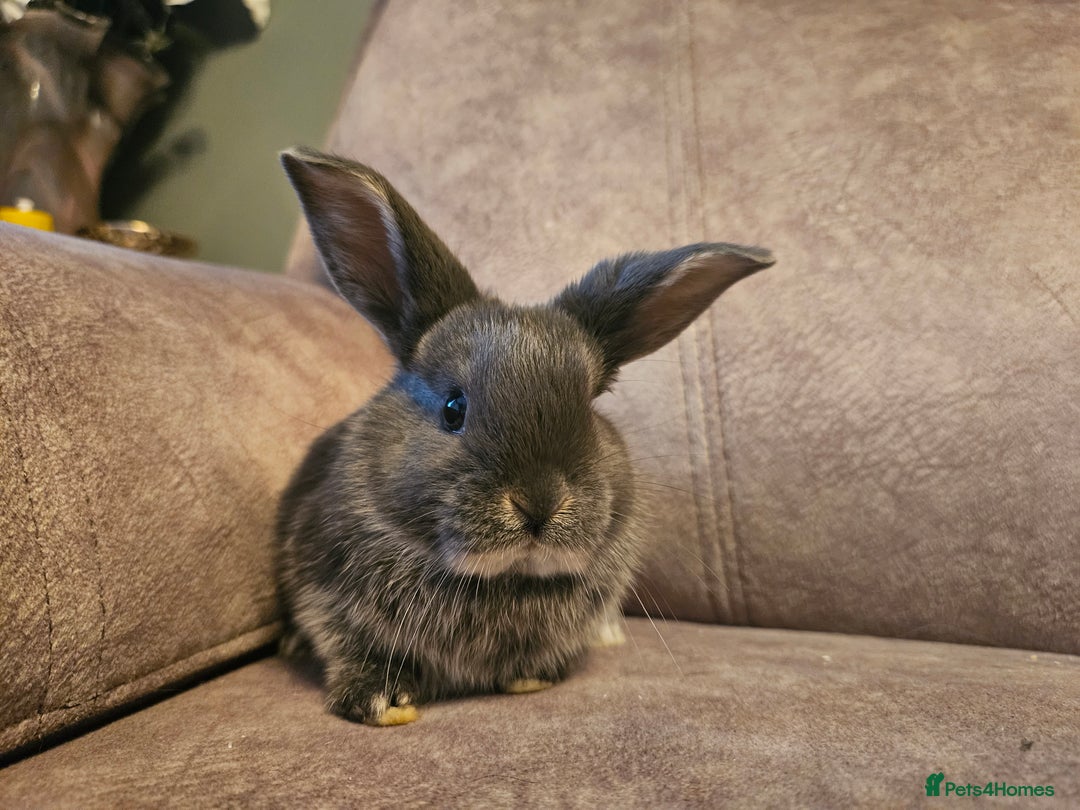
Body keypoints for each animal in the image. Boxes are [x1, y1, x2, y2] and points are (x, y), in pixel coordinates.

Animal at [276, 147, 774, 726]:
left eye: (590, 407)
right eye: (453, 408)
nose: (539, 504)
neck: (502, 580)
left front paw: (530, 678)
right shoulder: (325, 592)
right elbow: (348, 643)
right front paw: (377, 699)